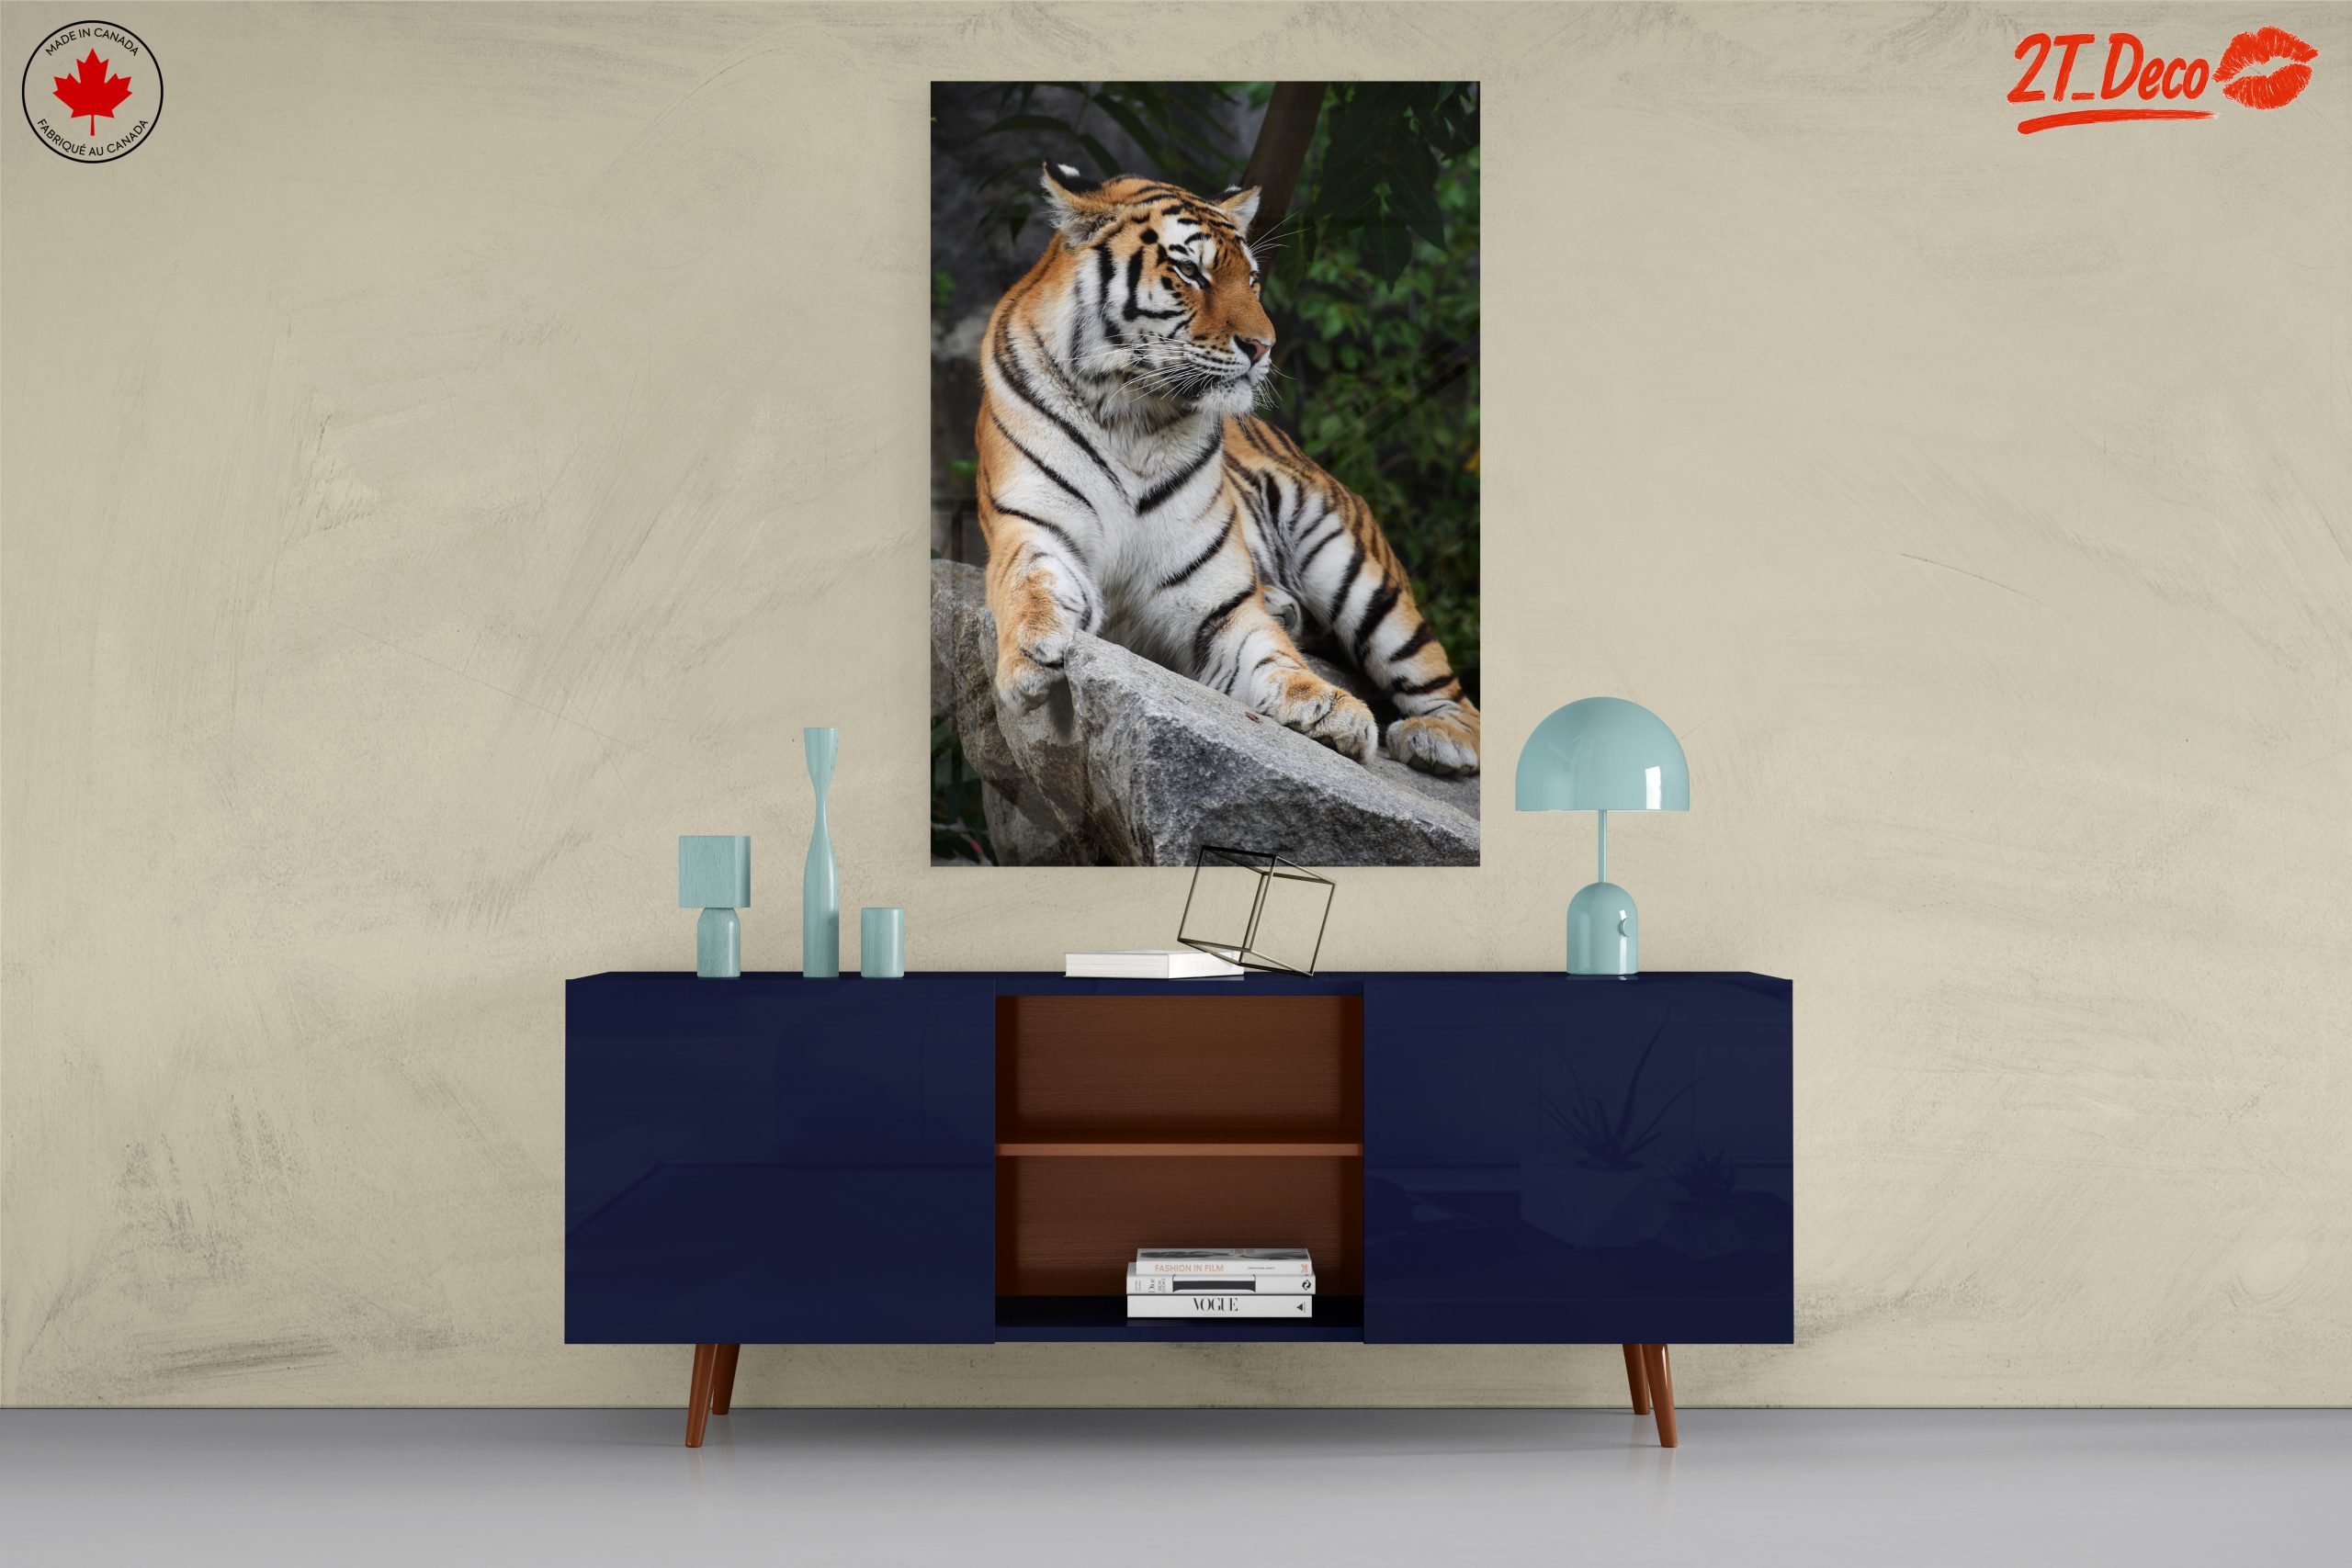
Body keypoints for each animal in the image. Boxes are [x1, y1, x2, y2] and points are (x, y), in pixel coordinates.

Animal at [972, 163, 1480, 777]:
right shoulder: (1033, 526)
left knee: (1451, 691)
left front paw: (1331, 710)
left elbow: (1268, 655)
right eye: (1190, 270)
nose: (1264, 347)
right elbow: (1029, 584)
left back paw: (1438, 739)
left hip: (1356, 567)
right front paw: (1032, 653)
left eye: (1253, 280)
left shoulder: (1216, 601)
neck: (1130, 413)